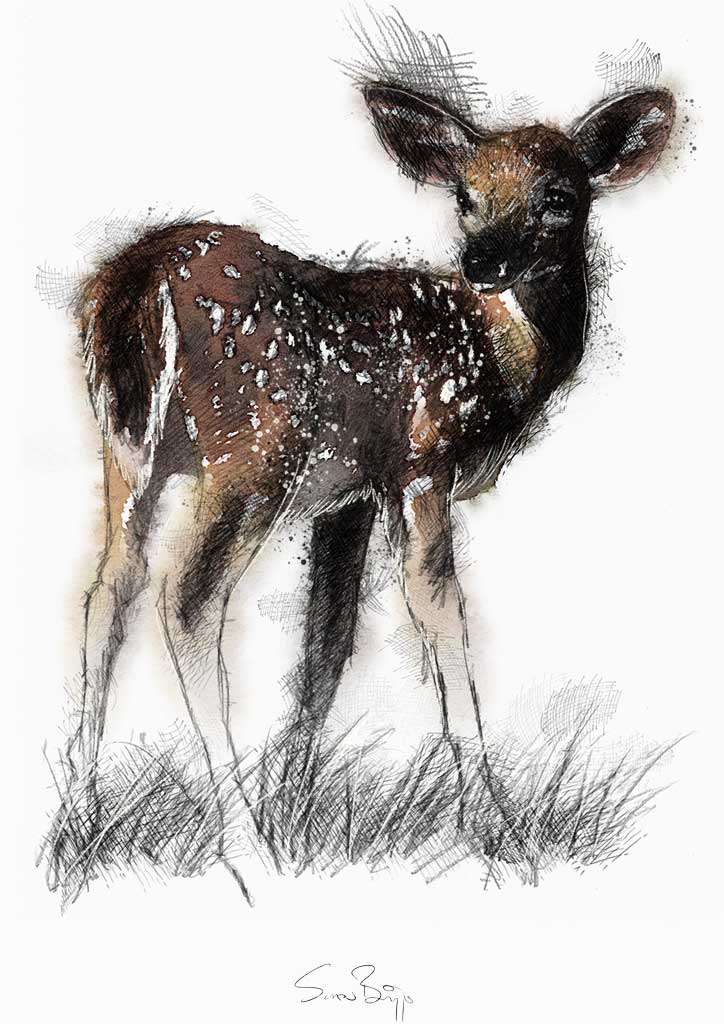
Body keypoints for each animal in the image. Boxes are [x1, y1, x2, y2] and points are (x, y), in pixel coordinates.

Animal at [70, 79, 675, 802]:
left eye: (558, 197)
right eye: (464, 196)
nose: (482, 261)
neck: (499, 357)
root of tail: (137, 281)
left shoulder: (349, 495)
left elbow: (327, 641)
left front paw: (296, 798)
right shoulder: (420, 462)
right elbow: (439, 611)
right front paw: (488, 811)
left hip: (128, 454)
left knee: (109, 590)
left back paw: (79, 803)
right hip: (253, 448)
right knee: (187, 599)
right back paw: (236, 816)